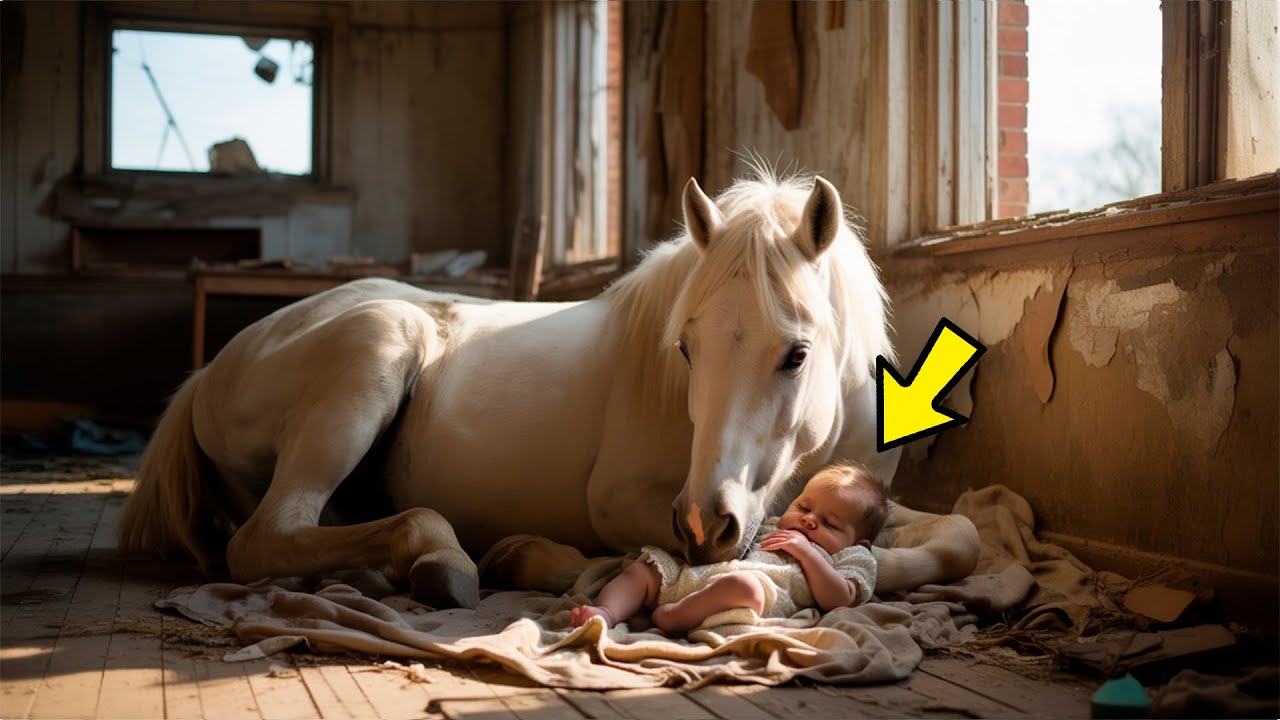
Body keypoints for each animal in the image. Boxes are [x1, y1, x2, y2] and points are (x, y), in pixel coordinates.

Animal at [118, 170, 980, 609]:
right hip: (376, 347)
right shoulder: (632, 505)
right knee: (267, 537)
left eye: (795, 354)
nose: (707, 521)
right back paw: (446, 559)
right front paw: (548, 558)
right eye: (686, 348)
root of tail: (213, 370)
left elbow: (959, 538)